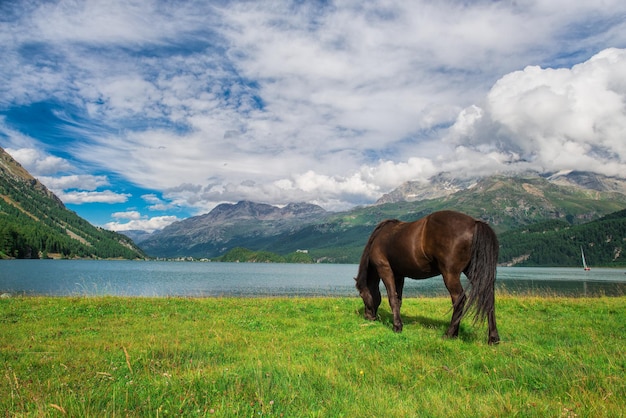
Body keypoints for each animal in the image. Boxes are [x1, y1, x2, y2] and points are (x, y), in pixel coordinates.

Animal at [356, 211, 498, 344]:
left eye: (362, 295)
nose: (368, 317)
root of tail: (474, 223)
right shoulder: (399, 276)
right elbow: (398, 300)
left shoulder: (385, 269)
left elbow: (392, 298)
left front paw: (397, 327)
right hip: (472, 271)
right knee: (488, 298)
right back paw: (493, 338)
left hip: (450, 274)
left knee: (459, 299)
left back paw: (449, 334)